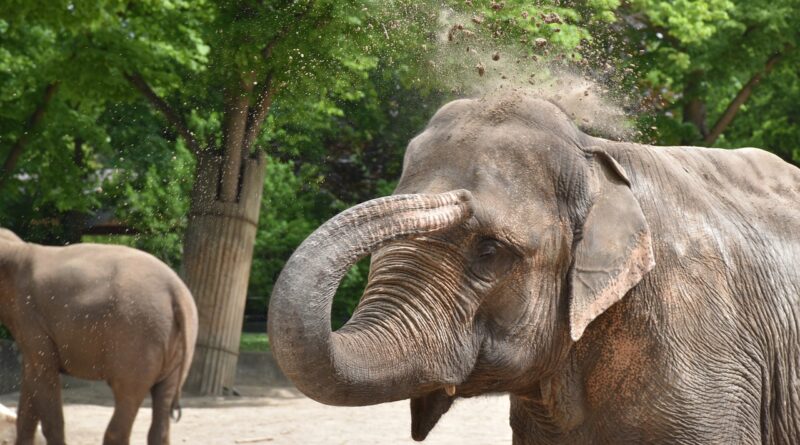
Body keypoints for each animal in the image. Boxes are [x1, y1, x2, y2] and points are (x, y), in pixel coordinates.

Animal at [0, 229, 199, 444]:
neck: (20, 248)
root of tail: (177, 292)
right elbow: (31, 379)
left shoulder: (32, 318)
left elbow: (43, 374)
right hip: (173, 346)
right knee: (162, 409)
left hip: (137, 340)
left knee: (125, 402)